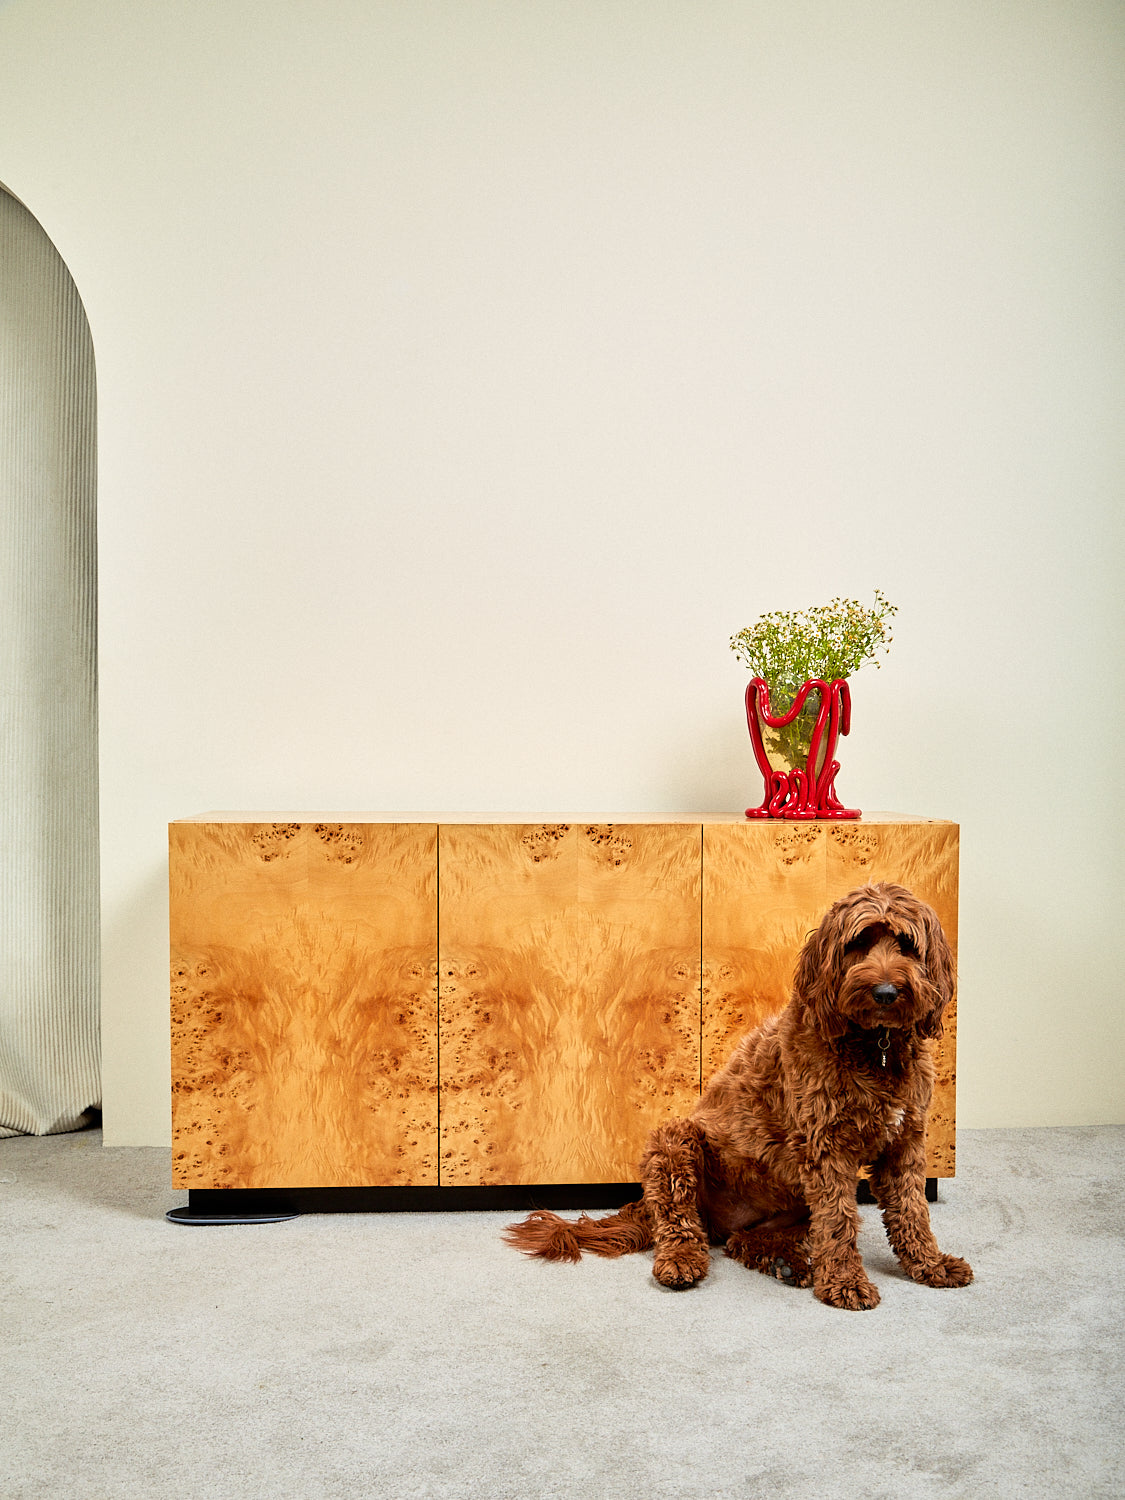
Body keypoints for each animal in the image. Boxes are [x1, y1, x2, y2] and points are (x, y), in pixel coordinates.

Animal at [507, 882, 972, 1308]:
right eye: (858, 943)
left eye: (907, 945)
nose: (886, 993)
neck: (876, 1046)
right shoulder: (826, 1148)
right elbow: (839, 1223)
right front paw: (845, 1282)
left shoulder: (905, 1143)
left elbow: (913, 1210)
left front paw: (930, 1265)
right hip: (674, 1143)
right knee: (677, 1223)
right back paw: (681, 1262)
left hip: (789, 1205)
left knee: (744, 1242)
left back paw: (786, 1263)